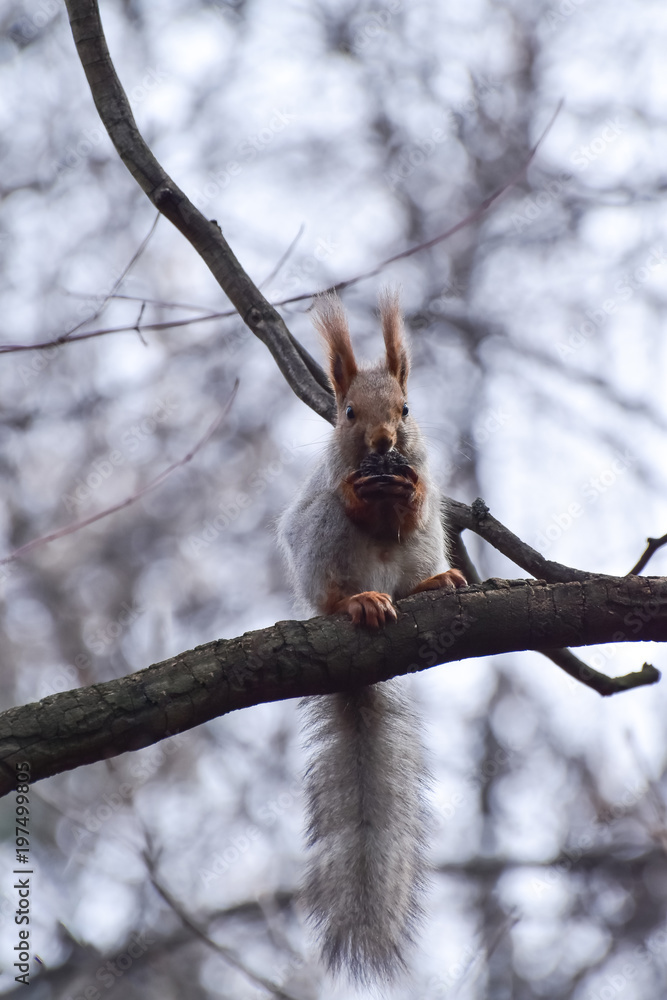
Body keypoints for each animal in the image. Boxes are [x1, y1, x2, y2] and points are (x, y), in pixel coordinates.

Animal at [280, 292, 468, 984]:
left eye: (406, 410)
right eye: (348, 414)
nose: (384, 442)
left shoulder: (425, 481)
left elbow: (413, 501)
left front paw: (400, 493)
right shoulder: (325, 487)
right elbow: (346, 497)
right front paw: (366, 496)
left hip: (428, 542)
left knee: (416, 568)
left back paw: (434, 584)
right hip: (323, 553)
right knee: (335, 589)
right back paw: (359, 602)